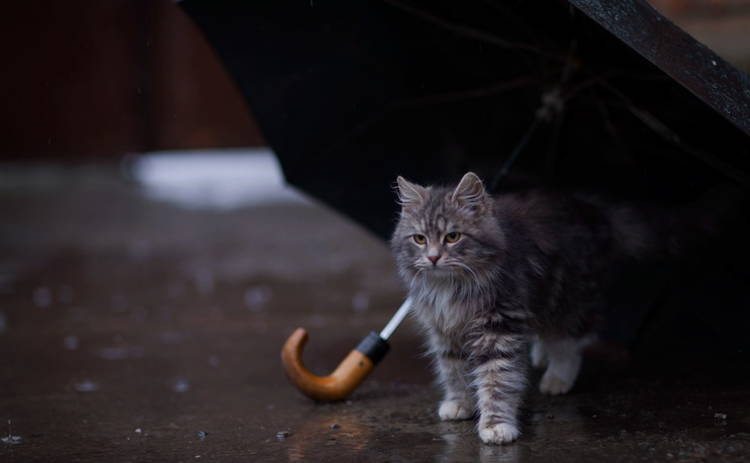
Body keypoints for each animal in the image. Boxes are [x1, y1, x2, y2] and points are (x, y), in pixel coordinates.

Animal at [390, 171, 644, 446]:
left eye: (453, 237)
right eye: (420, 239)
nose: (433, 257)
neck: (451, 287)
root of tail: (591, 208)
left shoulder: (497, 327)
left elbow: (496, 380)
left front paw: (496, 426)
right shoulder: (445, 329)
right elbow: (454, 370)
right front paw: (460, 403)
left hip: (567, 299)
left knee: (568, 343)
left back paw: (557, 379)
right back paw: (541, 357)